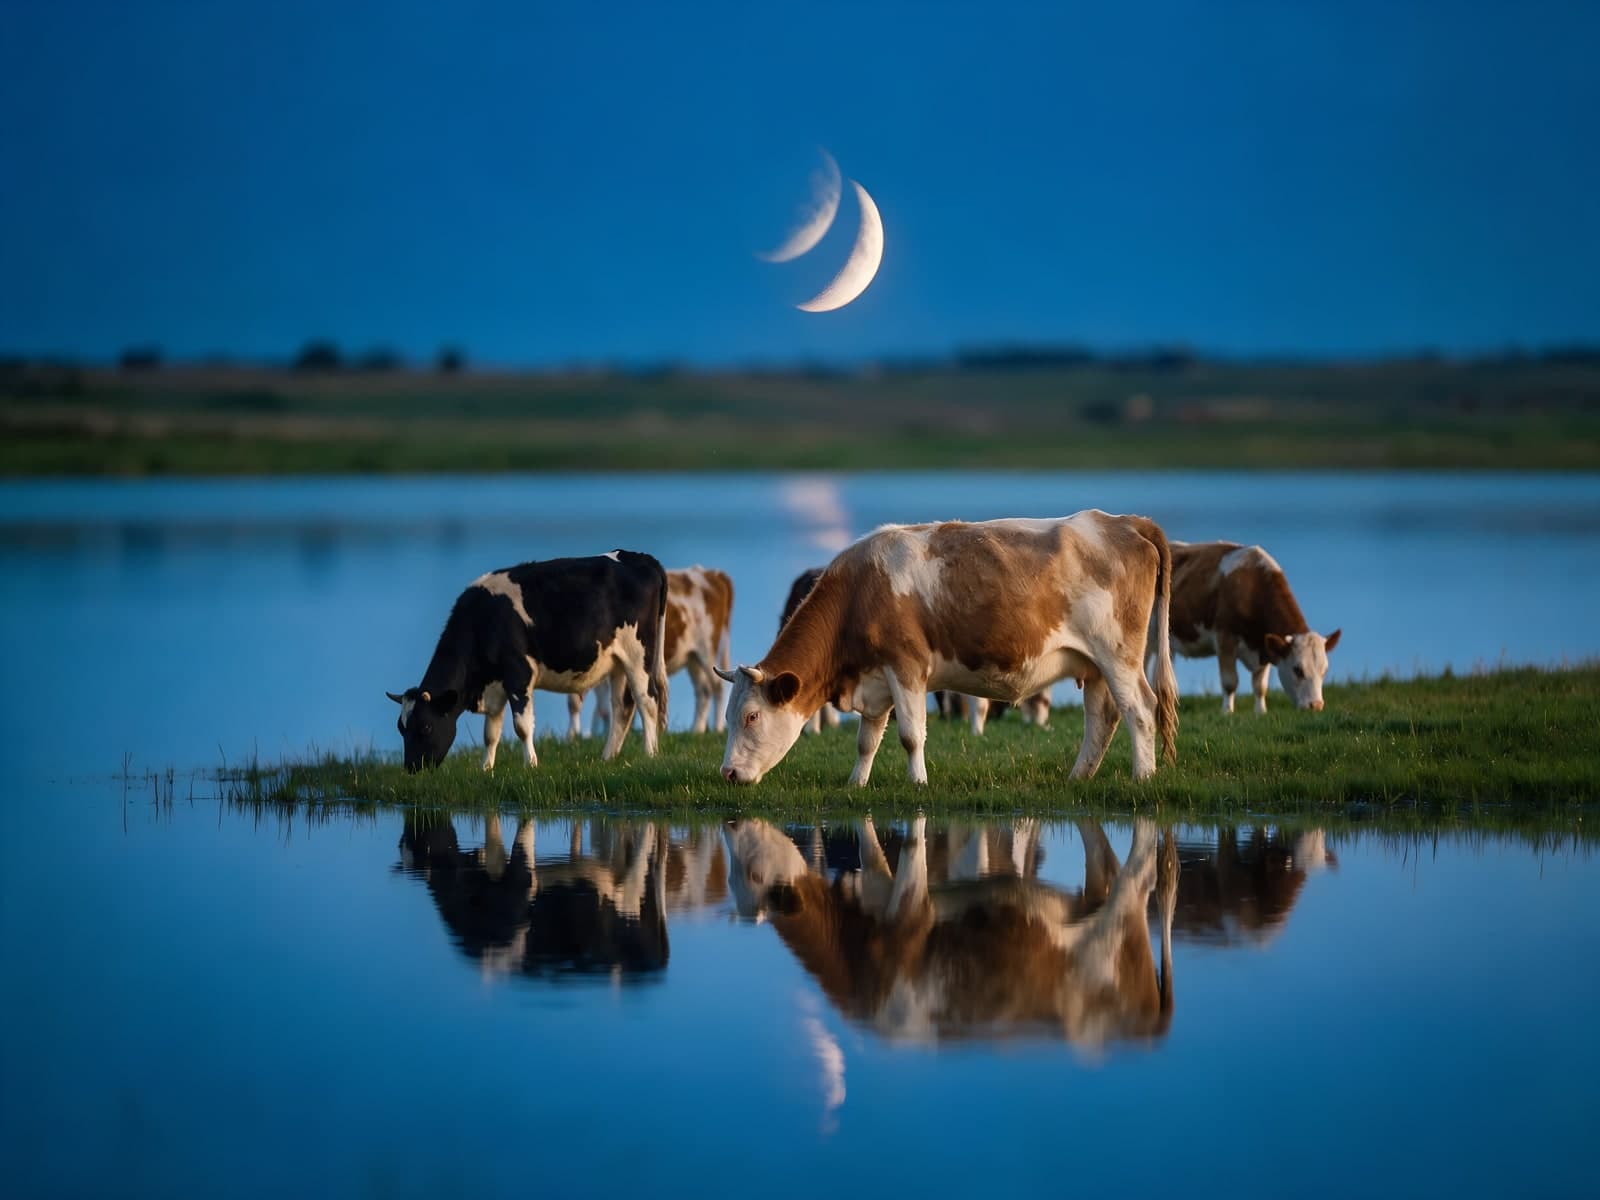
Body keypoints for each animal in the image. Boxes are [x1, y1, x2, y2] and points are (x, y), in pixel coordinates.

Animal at [385, 550, 669, 771]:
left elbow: (521, 725)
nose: (411, 767)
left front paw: (530, 764)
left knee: (647, 700)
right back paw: (608, 758)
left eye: (426, 727)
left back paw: (650, 754)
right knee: (622, 707)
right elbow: (491, 733)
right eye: (401, 727)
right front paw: (486, 768)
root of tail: (641, 558)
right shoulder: (496, 684)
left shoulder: (518, 673)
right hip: (617, 662)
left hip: (638, 653)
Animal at [571, 565, 735, 737]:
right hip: (692, 657)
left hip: (707, 649)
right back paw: (696, 730)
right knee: (704, 689)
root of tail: (710, 573)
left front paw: (574, 735)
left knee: (717, 686)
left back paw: (717, 728)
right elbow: (595, 705)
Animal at [1164, 541, 1341, 713]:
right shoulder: (1225, 636)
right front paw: (1227, 712)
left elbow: (1260, 686)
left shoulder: (1264, 646)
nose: (1316, 705)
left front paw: (1260, 712)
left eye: (1325, 670)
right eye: (1297, 670)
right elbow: (1230, 682)